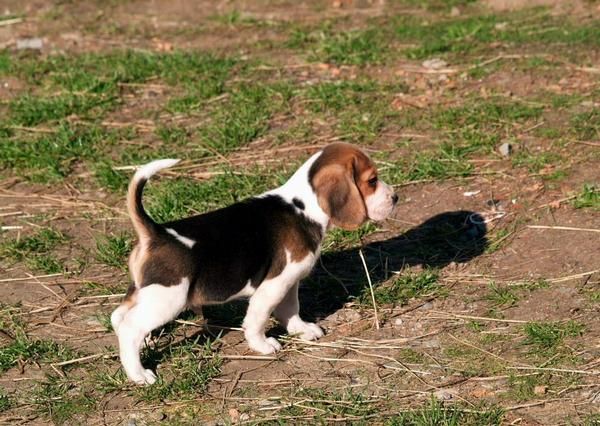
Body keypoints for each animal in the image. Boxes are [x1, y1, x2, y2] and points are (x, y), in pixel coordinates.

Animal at [111, 142, 398, 382]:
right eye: (372, 180)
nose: (395, 197)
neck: (303, 207)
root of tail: (156, 233)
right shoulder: (273, 285)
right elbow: (258, 318)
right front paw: (262, 345)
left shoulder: (289, 283)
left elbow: (290, 310)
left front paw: (301, 330)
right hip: (168, 299)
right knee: (129, 328)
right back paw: (139, 374)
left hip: (144, 293)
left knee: (118, 316)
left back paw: (144, 346)